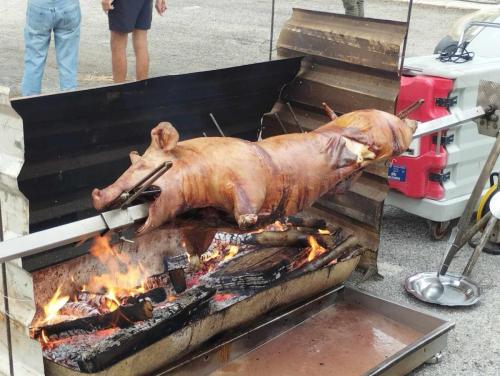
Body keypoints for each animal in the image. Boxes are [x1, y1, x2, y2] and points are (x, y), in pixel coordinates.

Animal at [92, 103, 416, 232]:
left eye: (146, 166)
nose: (97, 195)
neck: (200, 169)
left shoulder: (247, 183)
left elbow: (246, 212)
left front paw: (249, 221)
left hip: (387, 133)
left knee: (397, 134)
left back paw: (410, 123)